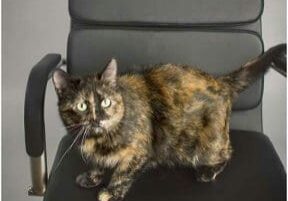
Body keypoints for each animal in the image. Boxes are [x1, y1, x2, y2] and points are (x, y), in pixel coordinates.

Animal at [52, 44, 286, 201]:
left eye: (106, 102)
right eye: (82, 106)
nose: (99, 118)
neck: (99, 138)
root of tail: (220, 81)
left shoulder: (139, 151)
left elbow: (122, 173)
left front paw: (110, 192)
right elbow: (96, 163)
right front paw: (92, 177)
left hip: (203, 146)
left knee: (227, 153)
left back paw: (207, 171)